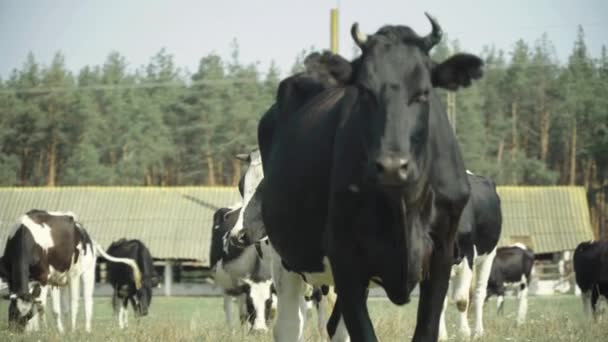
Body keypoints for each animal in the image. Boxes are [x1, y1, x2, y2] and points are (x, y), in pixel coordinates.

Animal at [0, 210, 142, 332]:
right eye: (13, 311)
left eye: (28, 314)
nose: (16, 330)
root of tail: (85, 233)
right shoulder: (14, 278)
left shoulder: (43, 278)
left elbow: (41, 305)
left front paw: (41, 330)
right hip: (61, 279)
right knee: (65, 308)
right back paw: (66, 330)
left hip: (83, 273)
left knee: (81, 301)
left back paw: (81, 329)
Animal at [440, 171, 502, 340]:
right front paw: (441, 335)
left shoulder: (468, 257)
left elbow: (462, 300)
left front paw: (464, 333)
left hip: (488, 257)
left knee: (478, 294)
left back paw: (478, 332)